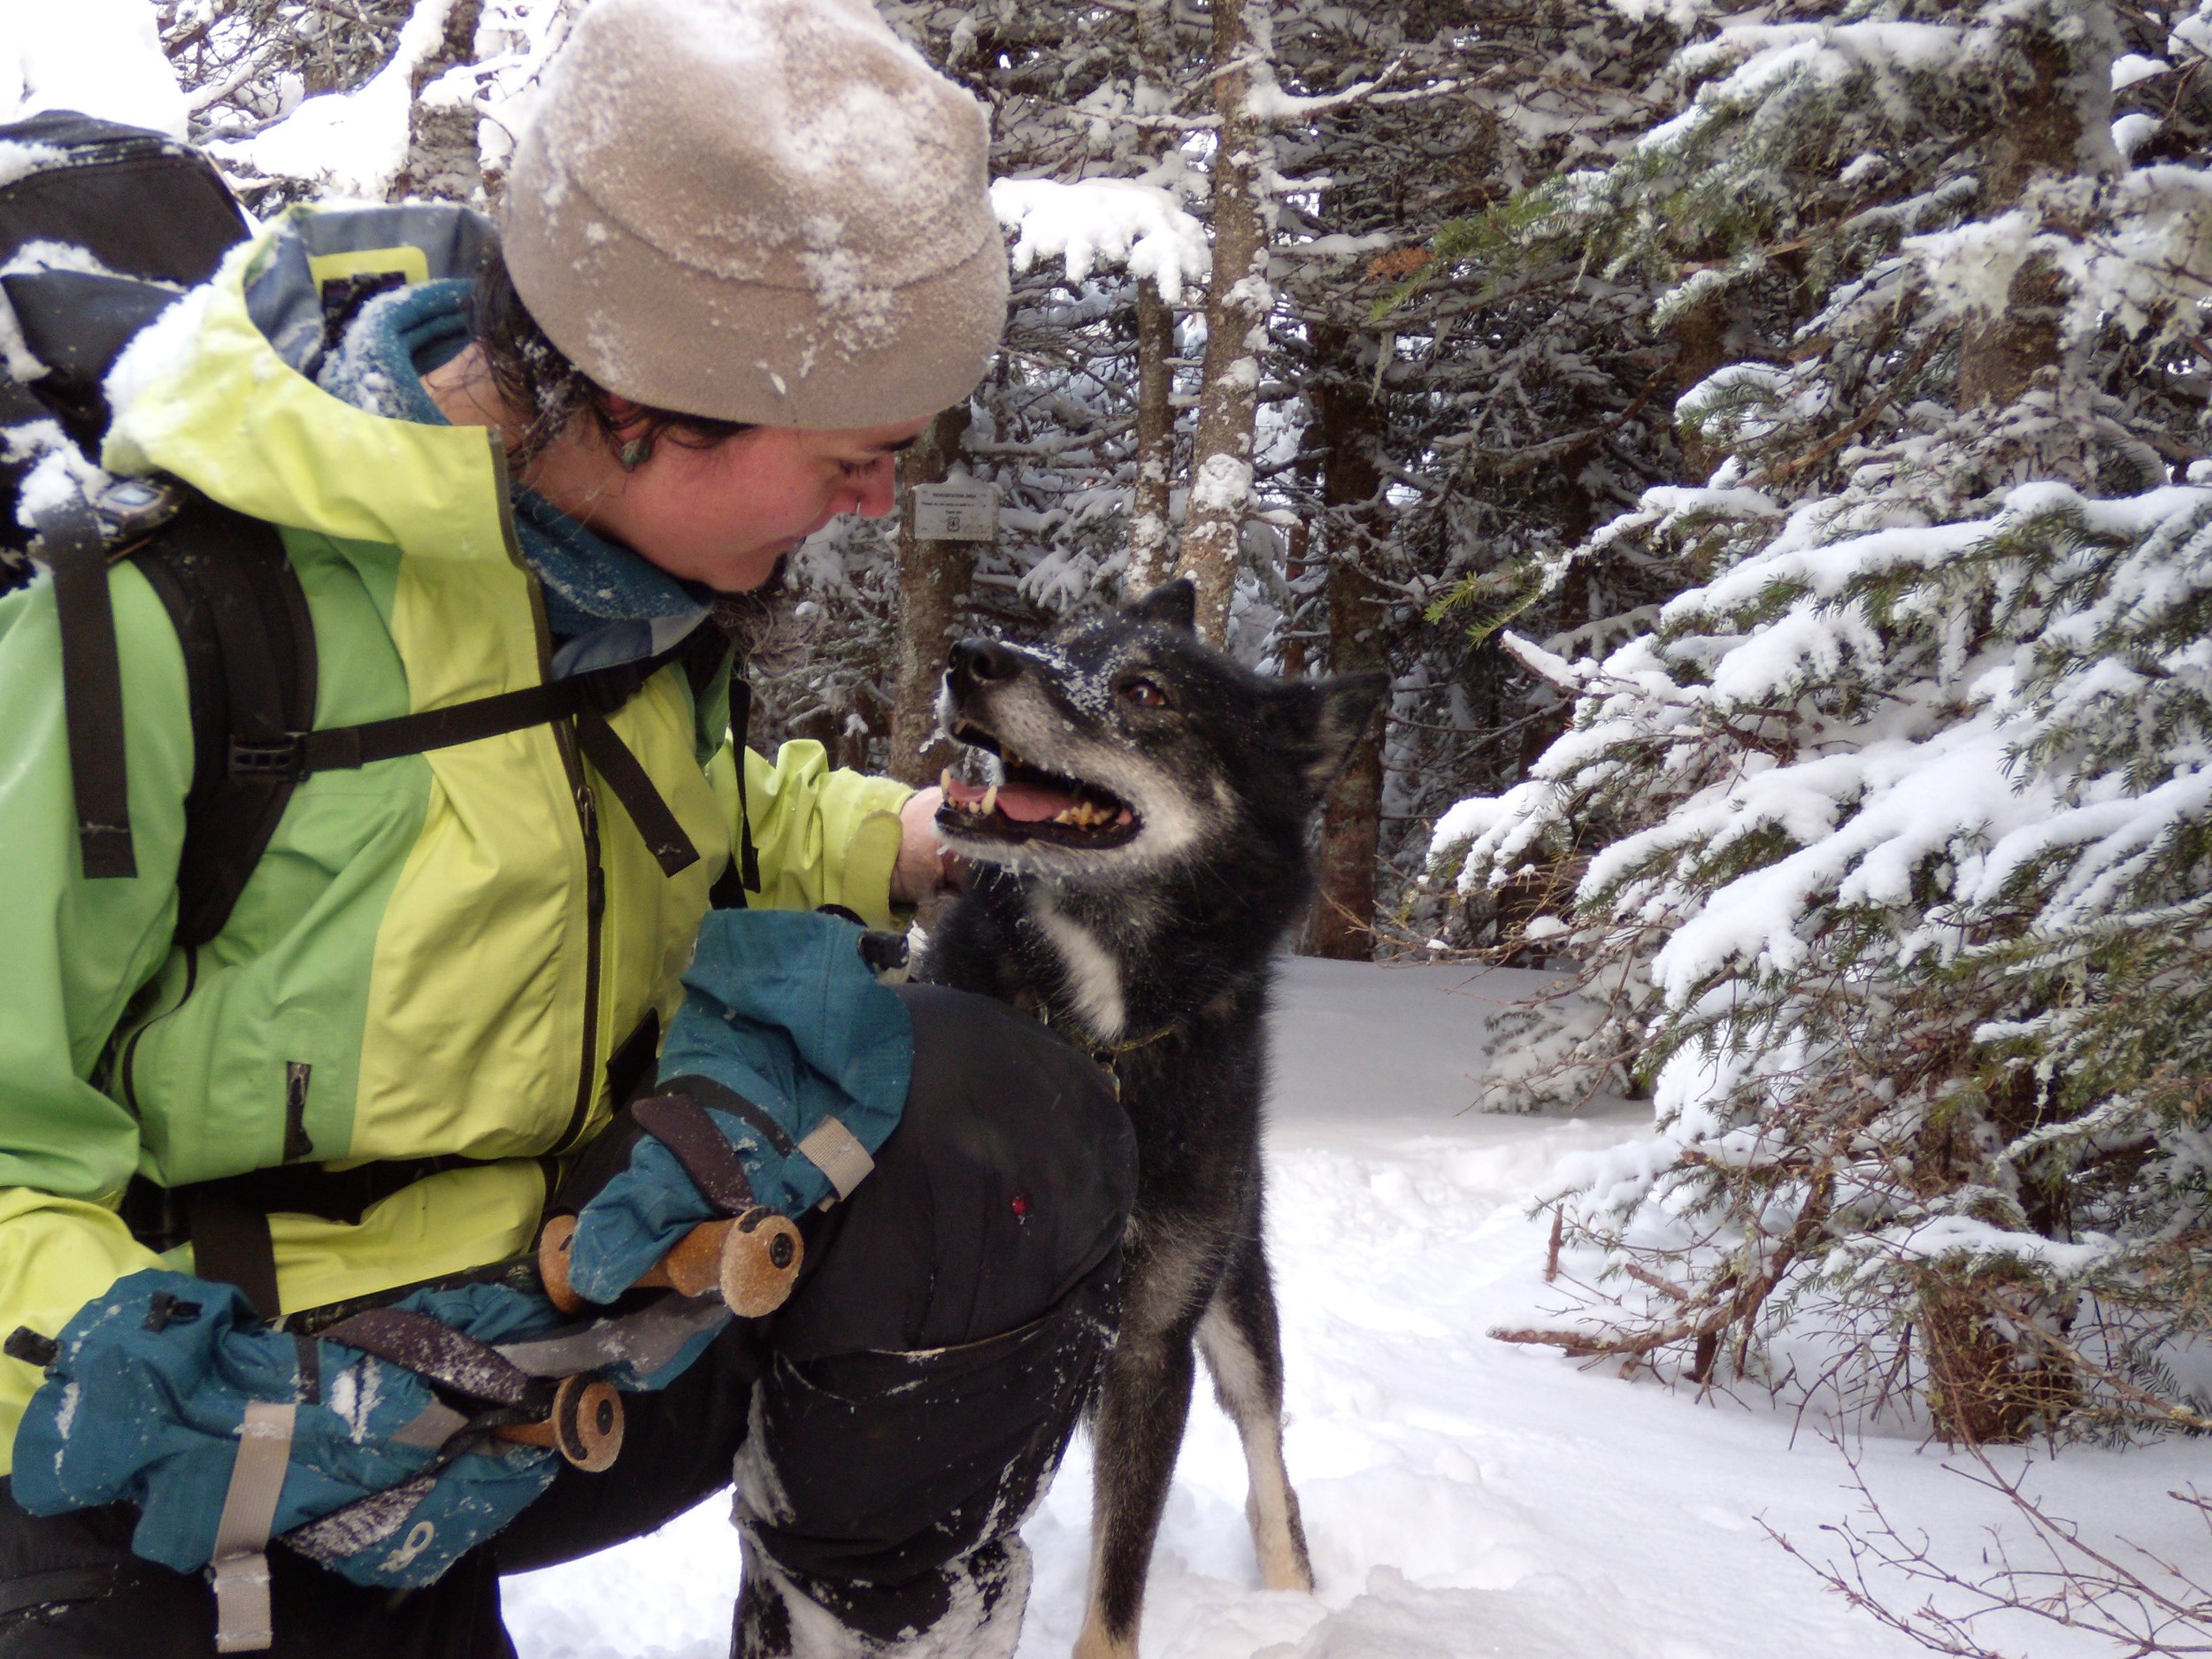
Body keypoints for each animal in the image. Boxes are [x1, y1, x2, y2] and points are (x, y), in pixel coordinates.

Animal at [916, 580, 1380, 1659]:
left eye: (1145, 691)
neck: (1098, 1035)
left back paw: (1293, 1601)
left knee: (1267, 1455)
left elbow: (1119, 1578)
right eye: (1064, 639)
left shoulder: (1151, 1343)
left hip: (1237, 1296)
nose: (971, 656)